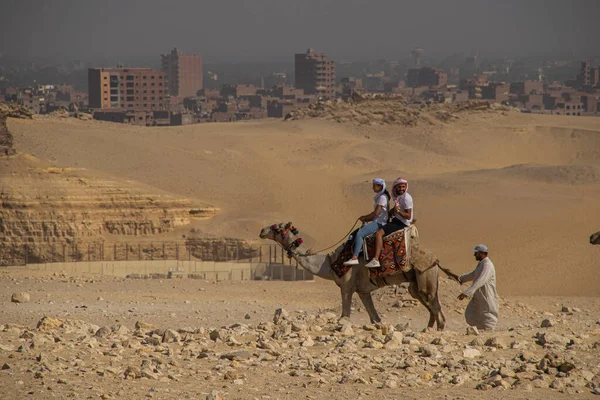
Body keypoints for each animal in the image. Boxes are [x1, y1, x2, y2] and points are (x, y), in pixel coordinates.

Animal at [258, 222, 460, 332]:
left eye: (276, 228)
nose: (261, 231)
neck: (329, 262)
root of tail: (436, 260)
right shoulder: (363, 291)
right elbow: (375, 318)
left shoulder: (347, 286)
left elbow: (344, 316)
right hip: (415, 283)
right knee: (425, 300)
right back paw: (427, 328)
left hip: (425, 275)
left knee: (435, 305)